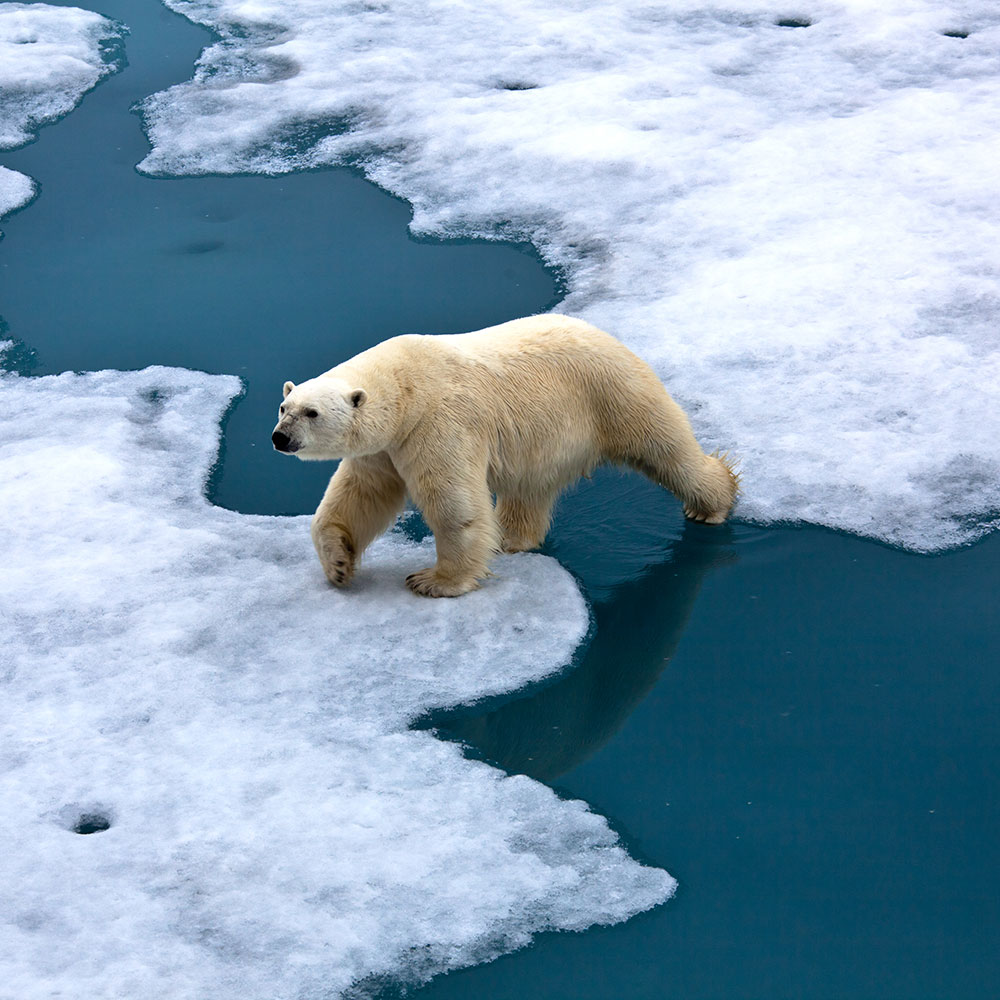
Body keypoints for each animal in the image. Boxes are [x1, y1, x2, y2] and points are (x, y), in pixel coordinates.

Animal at [272, 314, 738, 597]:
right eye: (284, 407)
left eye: (312, 413)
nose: (279, 438)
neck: (408, 386)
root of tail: (609, 335)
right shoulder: (385, 447)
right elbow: (359, 496)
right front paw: (338, 565)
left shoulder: (438, 423)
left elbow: (453, 505)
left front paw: (434, 581)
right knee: (529, 490)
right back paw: (512, 539)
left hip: (613, 394)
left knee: (667, 449)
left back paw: (713, 502)